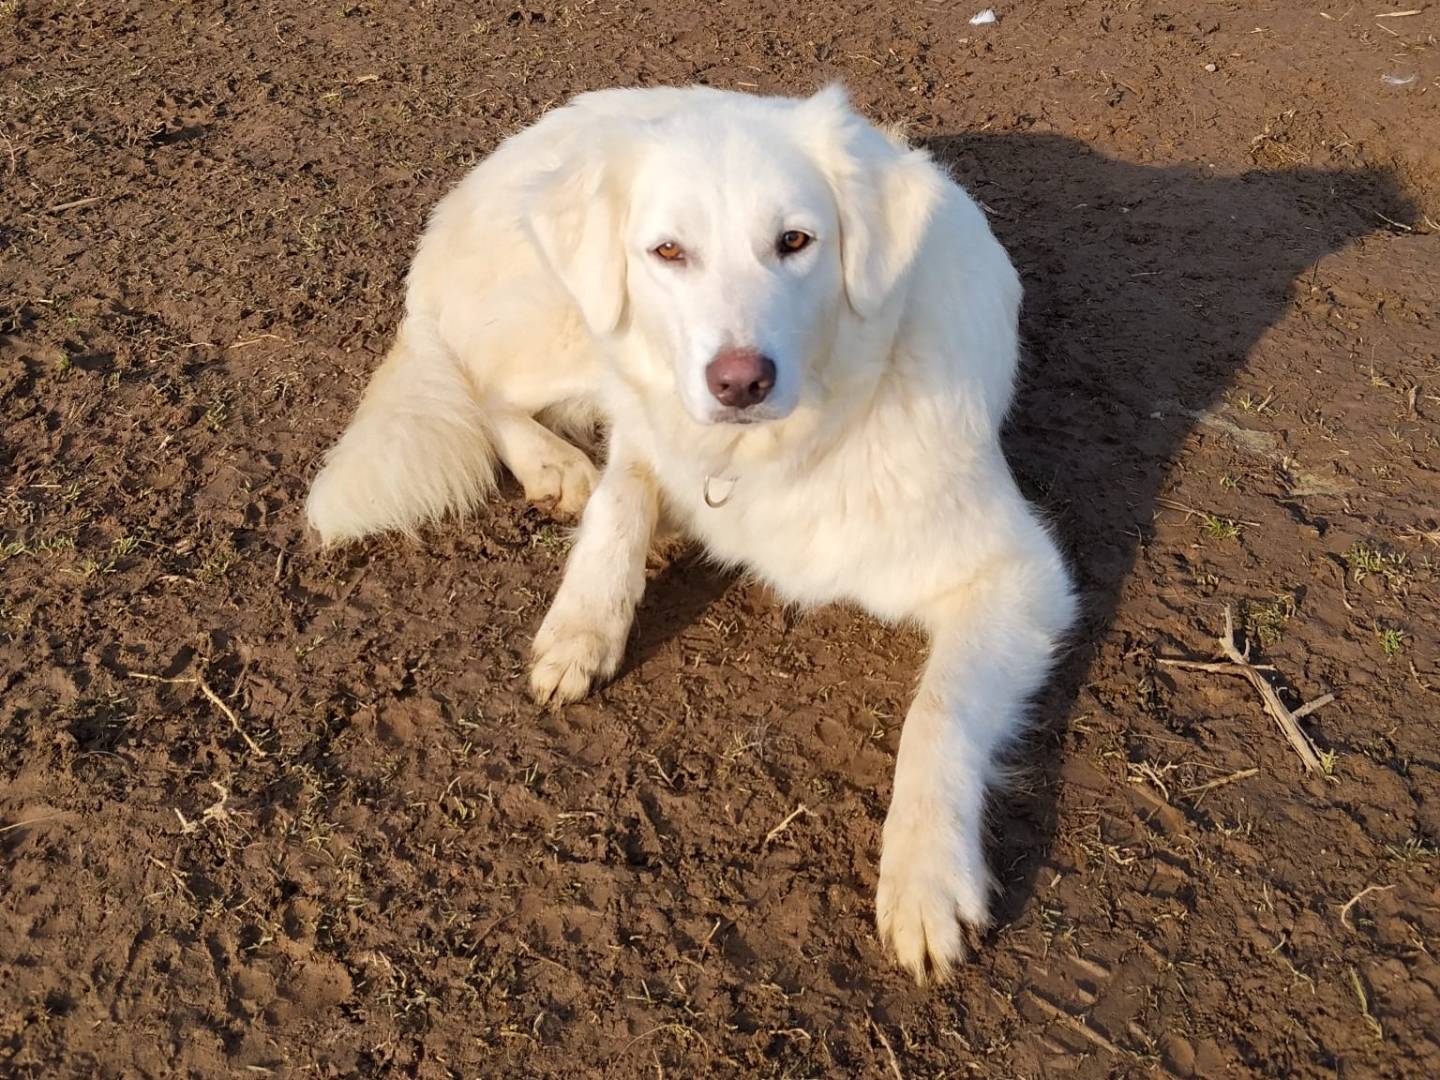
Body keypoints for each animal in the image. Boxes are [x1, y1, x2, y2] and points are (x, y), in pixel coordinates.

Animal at [306, 84, 1076, 983]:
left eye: (795, 242)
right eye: (669, 252)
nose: (739, 381)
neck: (784, 445)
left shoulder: (1016, 575)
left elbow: (937, 714)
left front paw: (925, 877)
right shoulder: (651, 419)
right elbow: (621, 496)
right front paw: (584, 624)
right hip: (572, 329)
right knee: (478, 383)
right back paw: (553, 465)